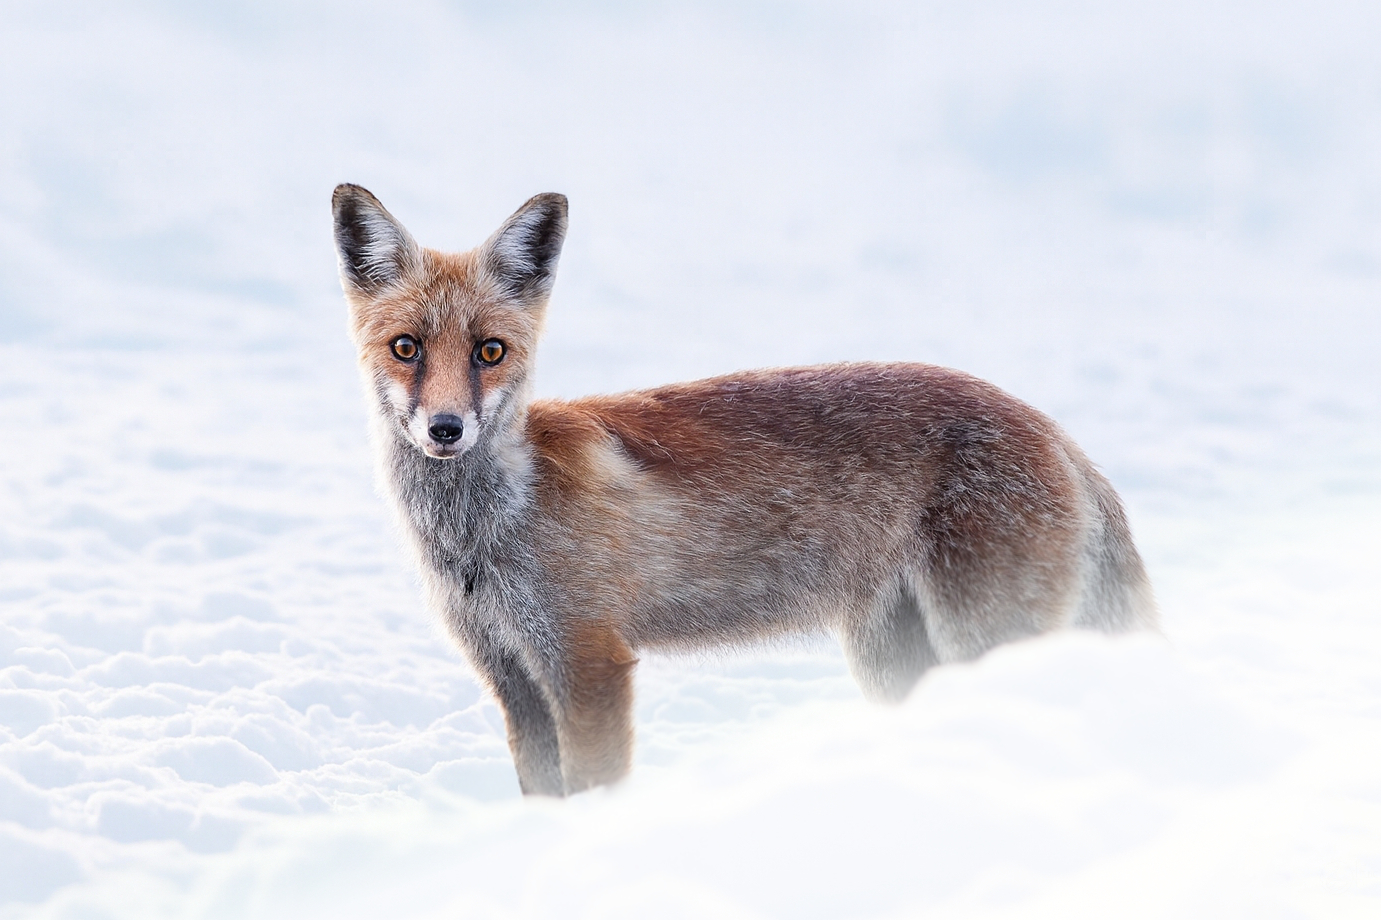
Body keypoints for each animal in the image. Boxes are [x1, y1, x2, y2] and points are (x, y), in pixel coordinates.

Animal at [331, 184, 1156, 797]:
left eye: (489, 352)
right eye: (406, 348)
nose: (445, 429)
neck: (481, 532)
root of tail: (1051, 427)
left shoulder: (588, 662)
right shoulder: (512, 674)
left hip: (984, 639)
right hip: (892, 660)